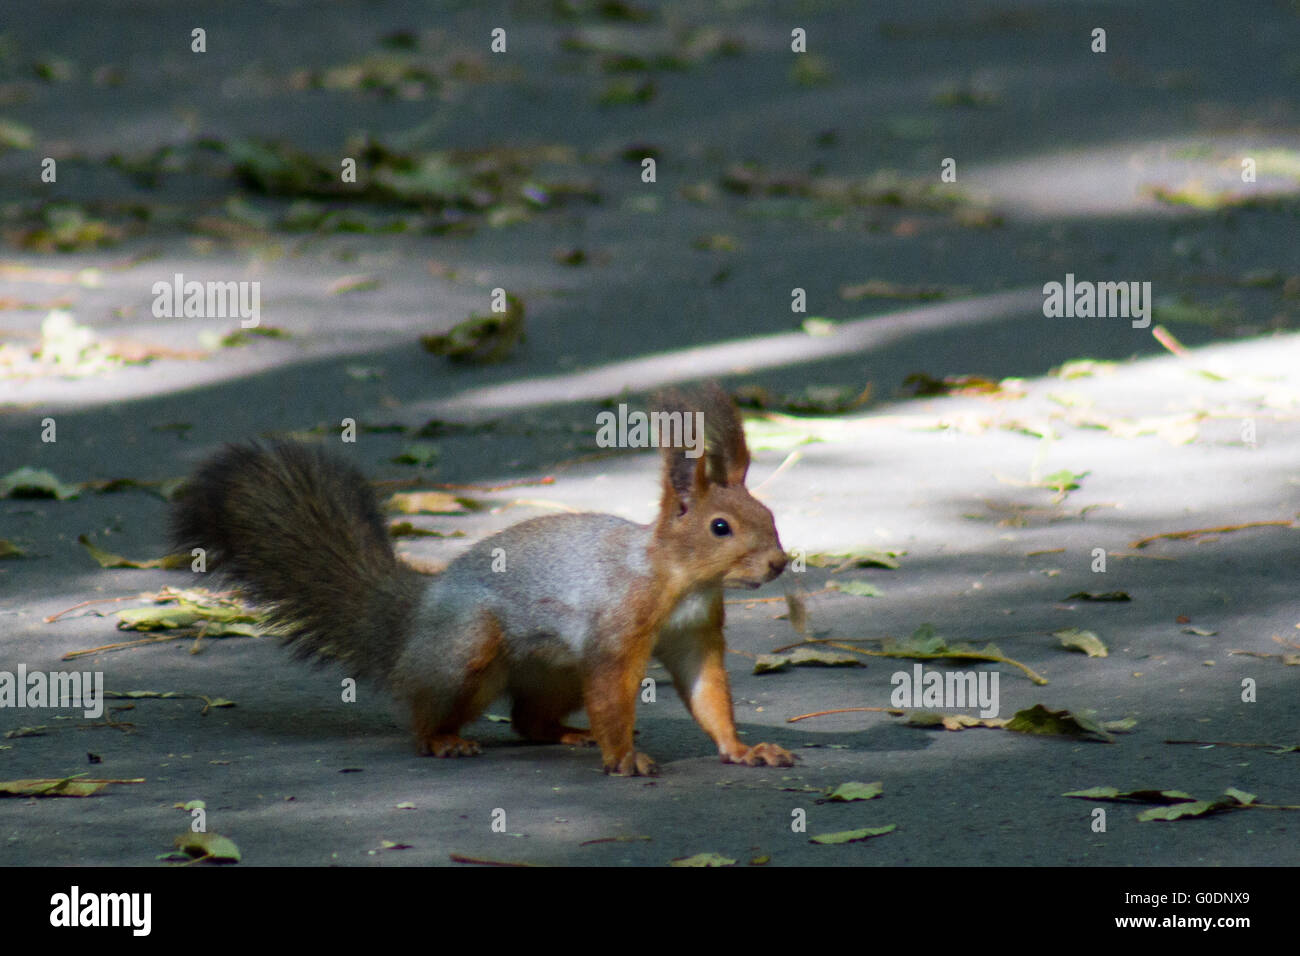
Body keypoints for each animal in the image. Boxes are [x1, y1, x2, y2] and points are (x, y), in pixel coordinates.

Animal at [171, 382, 790, 780]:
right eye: (720, 527)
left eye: (771, 514)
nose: (779, 564)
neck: (680, 580)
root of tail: (415, 616)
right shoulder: (616, 627)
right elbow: (613, 697)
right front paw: (622, 758)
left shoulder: (695, 635)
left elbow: (709, 695)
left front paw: (742, 748)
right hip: (469, 645)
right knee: (423, 716)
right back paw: (445, 740)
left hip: (556, 673)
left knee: (527, 721)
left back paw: (569, 734)